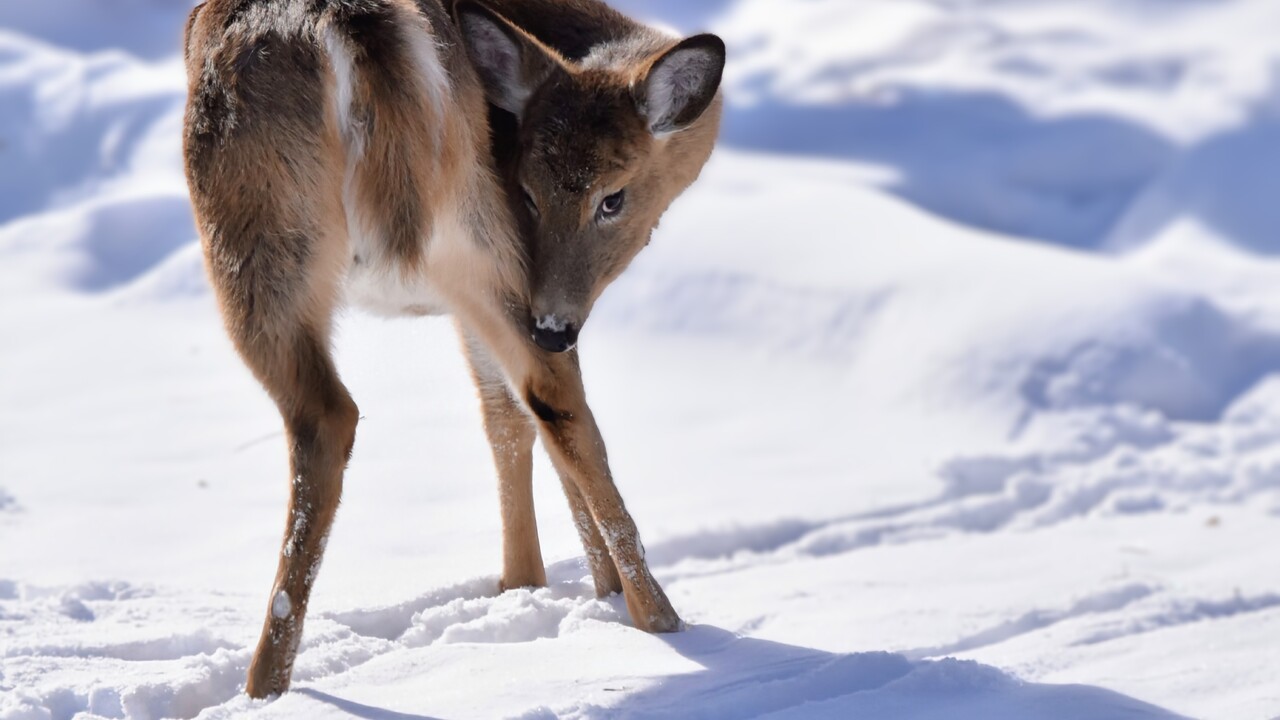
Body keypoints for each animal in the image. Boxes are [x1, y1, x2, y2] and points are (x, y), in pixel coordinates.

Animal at [181, 0, 724, 697]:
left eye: (615, 198)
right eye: (528, 191)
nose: (555, 325)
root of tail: (348, 27)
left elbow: (507, 416)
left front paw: (535, 587)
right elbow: (515, 416)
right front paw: (553, 589)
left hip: (262, 232)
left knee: (330, 415)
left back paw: (265, 685)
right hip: (462, 239)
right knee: (552, 399)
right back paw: (662, 622)